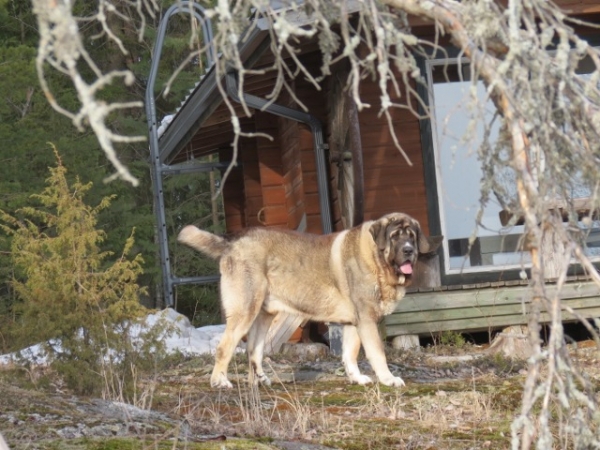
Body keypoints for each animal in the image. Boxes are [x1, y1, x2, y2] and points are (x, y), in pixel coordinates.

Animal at [178, 213, 440, 388]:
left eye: (412, 236)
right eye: (395, 236)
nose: (409, 250)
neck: (378, 261)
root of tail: (232, 242)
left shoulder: (353, 323)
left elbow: (350, 354)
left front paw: (356, 378)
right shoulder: (366, 320)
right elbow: (377, 353)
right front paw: (388, 379)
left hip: (263, 316)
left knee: (253, 349)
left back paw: (259, 381)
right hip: (245, 311)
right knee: (225, 347)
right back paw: (219, 381)